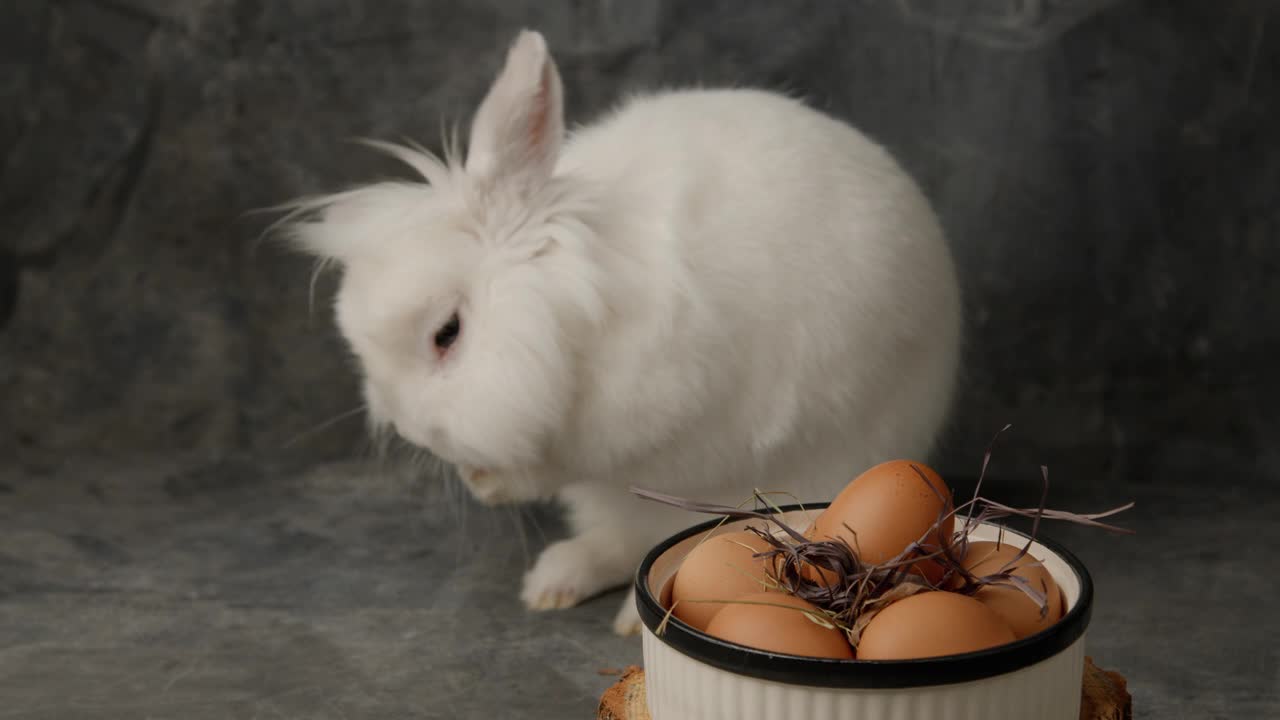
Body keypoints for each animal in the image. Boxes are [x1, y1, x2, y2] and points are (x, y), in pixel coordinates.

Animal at [282, 28, 962, 632]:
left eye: (446, 333)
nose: (408, 428)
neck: (573, 310)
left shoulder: (649, 418)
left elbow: (577, 455)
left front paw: (493, 484)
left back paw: (634, 622)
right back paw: (554, 583)